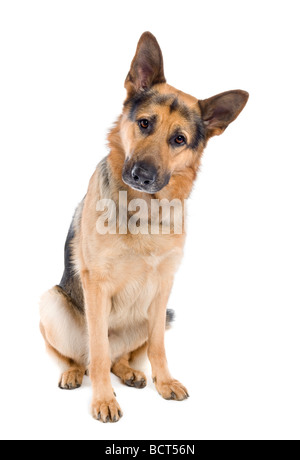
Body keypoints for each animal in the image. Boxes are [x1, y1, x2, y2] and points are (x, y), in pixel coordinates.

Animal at [39, 32, 248, 422]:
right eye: (145, 123)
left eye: (179, 139)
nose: (142, 175)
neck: (144, 212)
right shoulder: (96, 284)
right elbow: (98, 349)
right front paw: (104, 400)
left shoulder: (164, 284)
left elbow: (158, 348)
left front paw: (163, 382)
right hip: (51, 303)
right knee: (83, 357)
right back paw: (74, 373)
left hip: (158, 313)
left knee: (121, 356)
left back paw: (130, 372)